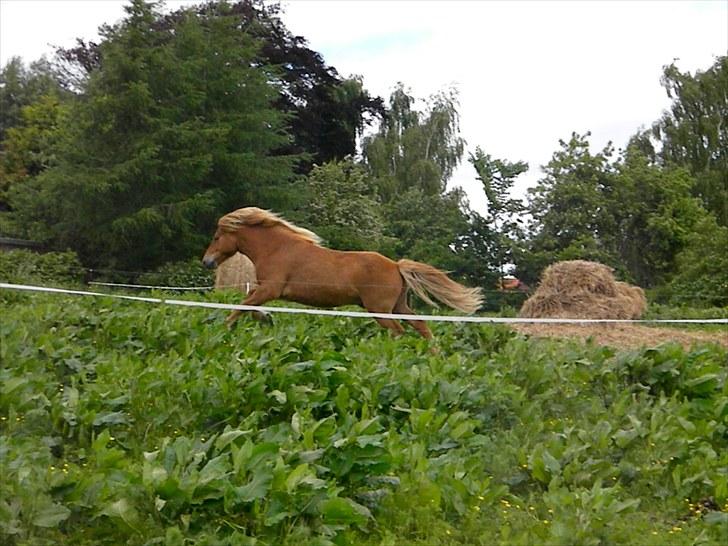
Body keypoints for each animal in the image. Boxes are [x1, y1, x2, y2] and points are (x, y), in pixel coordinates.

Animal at [200, 207, 484, 338]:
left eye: (216, 237)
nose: (207, 262)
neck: (277, 248)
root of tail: (396, 266)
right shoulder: (267, 291)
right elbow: (250, 307)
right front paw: (266, 319)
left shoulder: (270, 289)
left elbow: (242, 305)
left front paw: (225, 329)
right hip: (398, 306)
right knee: (421, 326)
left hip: (379, 310)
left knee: (398, 332)